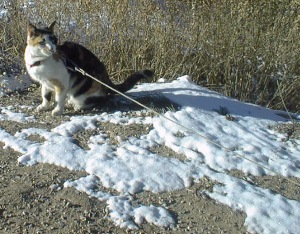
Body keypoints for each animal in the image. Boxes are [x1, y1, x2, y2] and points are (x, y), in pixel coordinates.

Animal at [24, 21, 154, 115]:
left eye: (54, 40)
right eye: (42, 41)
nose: (52, 49)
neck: (40, 61)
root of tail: (107, 80)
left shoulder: (63, 81)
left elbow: (59, 98)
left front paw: (57, 110)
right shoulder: (45, 82)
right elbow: (45, 96)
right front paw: (43, 106)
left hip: (83, 92)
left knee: (103, 99)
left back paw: (78, 105)